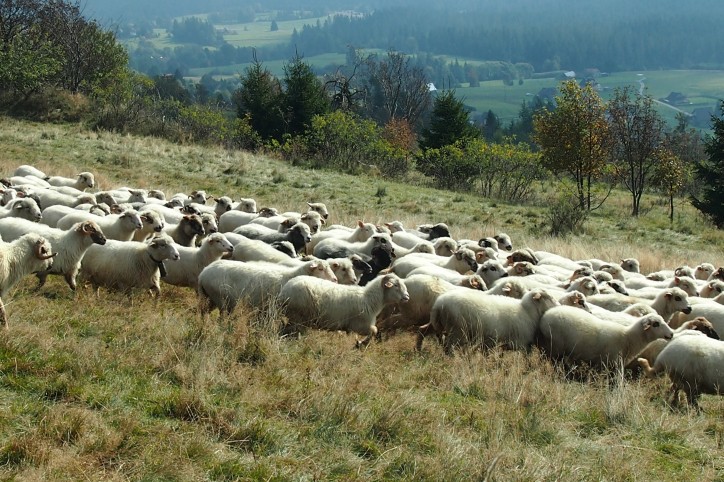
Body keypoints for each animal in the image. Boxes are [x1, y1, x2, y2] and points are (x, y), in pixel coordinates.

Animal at [199, 258, 338, 314]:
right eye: (320, 269)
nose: (335, 280)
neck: (292, 275)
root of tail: (203, 273)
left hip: (210, 298)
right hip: (221, 299)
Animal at [282, 272, 410, 346]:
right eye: (396, 285)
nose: (407, 297)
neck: (369, 299)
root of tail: (284, 290)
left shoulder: (352, 328)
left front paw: (359, 342)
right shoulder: (359, 325)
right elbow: (374, 330)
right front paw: (361, 343)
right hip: (298, 316)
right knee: (293, 332)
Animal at [424, 286, 560, 354]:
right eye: (549, 297)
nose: (559, 306)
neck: (528, 312)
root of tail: (439, 304)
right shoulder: (520, 343)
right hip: (457, 330)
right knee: (449, 347)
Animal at [536, 308, 672, 370]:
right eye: (656, 324)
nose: (671, 334)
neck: (627, 338)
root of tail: (545, 316)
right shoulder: (608, 364)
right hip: (555, 346)